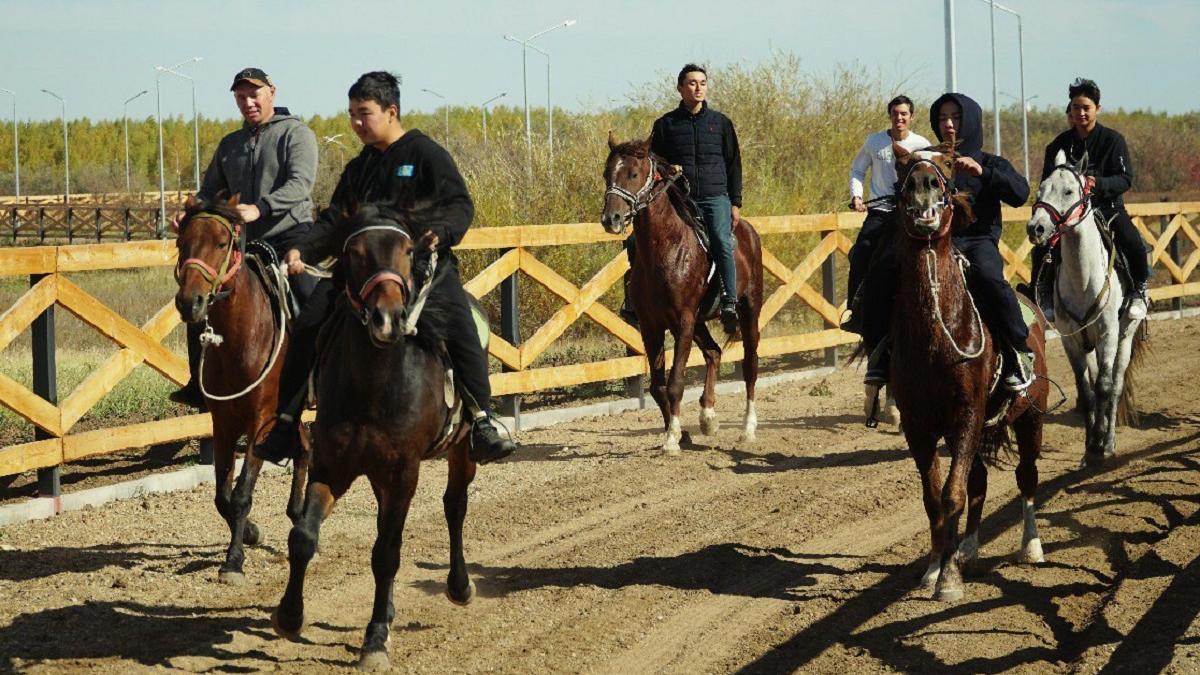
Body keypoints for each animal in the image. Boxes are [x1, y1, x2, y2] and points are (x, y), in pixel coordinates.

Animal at [175, 192, 314, 581]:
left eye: (222, 243)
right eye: (181, 242)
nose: (189, 302)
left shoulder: (260, 423)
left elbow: (240, 495)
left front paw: (234, 560)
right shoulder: (223, 424)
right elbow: (222, 496)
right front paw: (250, 532)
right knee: (305, 448)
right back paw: (298, 513)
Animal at [274, 201, 475, 667]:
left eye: (408, 249)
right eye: (355, 252)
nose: (388, 319)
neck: (375, 383)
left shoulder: (404, 474)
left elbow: (387, 554)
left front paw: (376, 639)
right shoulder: (332, 466)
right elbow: (303, 536)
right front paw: (290, 615)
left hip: (462, 450)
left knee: (454, 506)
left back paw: (458, 585)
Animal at [597, 132, 758, 451]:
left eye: (633, 173)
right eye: (607, 174)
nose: (612, 219)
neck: (666, 248)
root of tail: (747, 230)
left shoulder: (683, 321)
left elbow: (675, 383)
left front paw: (671, 440)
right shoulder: (652, 326)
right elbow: (658, 386)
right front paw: (679, 432)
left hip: (747, 311)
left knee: (750, 364)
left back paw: (748, 428)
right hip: (699, 322)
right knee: (714, 352)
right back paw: (708, 418)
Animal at [892, 141, 1051, 598]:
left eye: (946, 164)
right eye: (902, 166)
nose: (923, 182)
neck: (937, 336)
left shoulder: (967, 413)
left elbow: (952, 494)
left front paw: (947, 581)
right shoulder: (919, 424)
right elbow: (935, 497)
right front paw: (934, 567)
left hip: (1030, 417)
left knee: (1026, 476)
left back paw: (1030, 546)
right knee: (979, 481)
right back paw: (970, 550)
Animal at [1027, 147, 1147, 466]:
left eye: (1069, 191)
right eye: (1041, 189)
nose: (1036, 228)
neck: (1084, 277)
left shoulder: (1107, 334)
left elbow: (1105, 387)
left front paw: (1101, 444)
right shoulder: (1071, 340)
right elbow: (1087, 391)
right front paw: (1089, 446)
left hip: (1124, 337)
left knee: (1115, 386)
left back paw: (1110, 441)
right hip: (1088, 343)